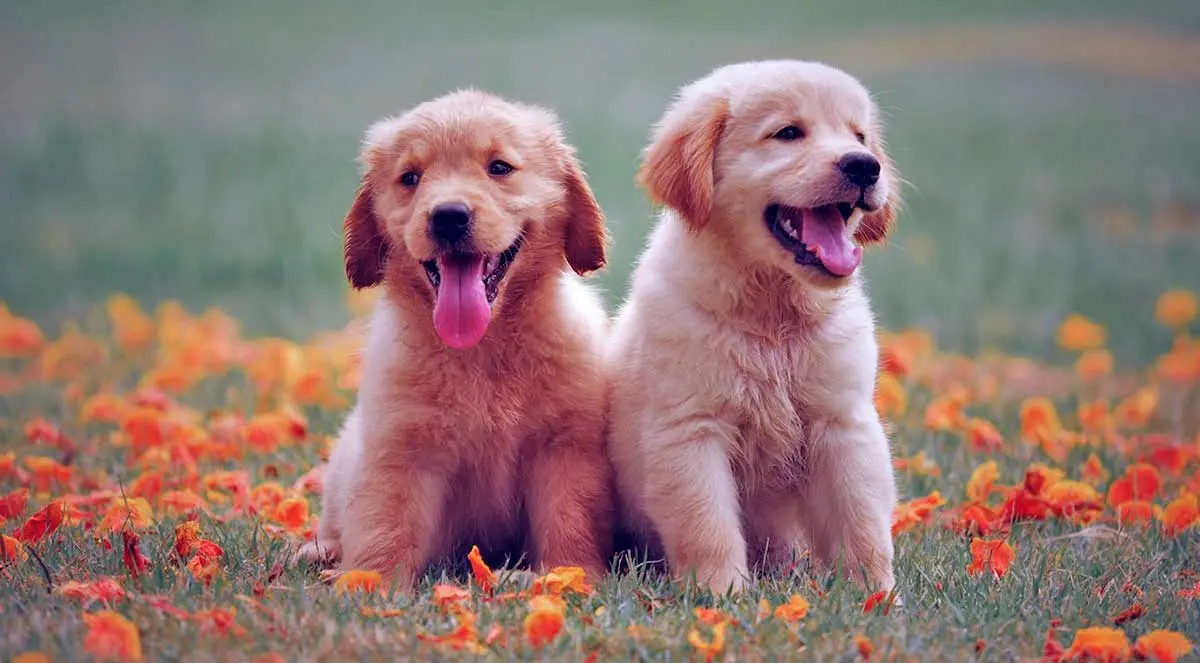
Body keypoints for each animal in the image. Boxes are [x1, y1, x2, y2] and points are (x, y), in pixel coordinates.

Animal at [298, 89, 614, 586]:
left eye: (499, 167)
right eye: (410, 177)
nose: (448, 216)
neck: (480, 349)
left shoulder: (565, 447)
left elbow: (569, 517)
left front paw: (569, 574)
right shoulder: (399, 448)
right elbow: (384, 523)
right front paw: (368, 583)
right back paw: (319, 552)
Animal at [609, 59, 902, 593]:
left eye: (860, 136)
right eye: (787, 133)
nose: (865, 166)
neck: (772, 315)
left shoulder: (843, 423)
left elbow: (862, 520)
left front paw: (876, 594)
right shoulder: (692, 429)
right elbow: (707, 524)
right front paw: (722, 595)